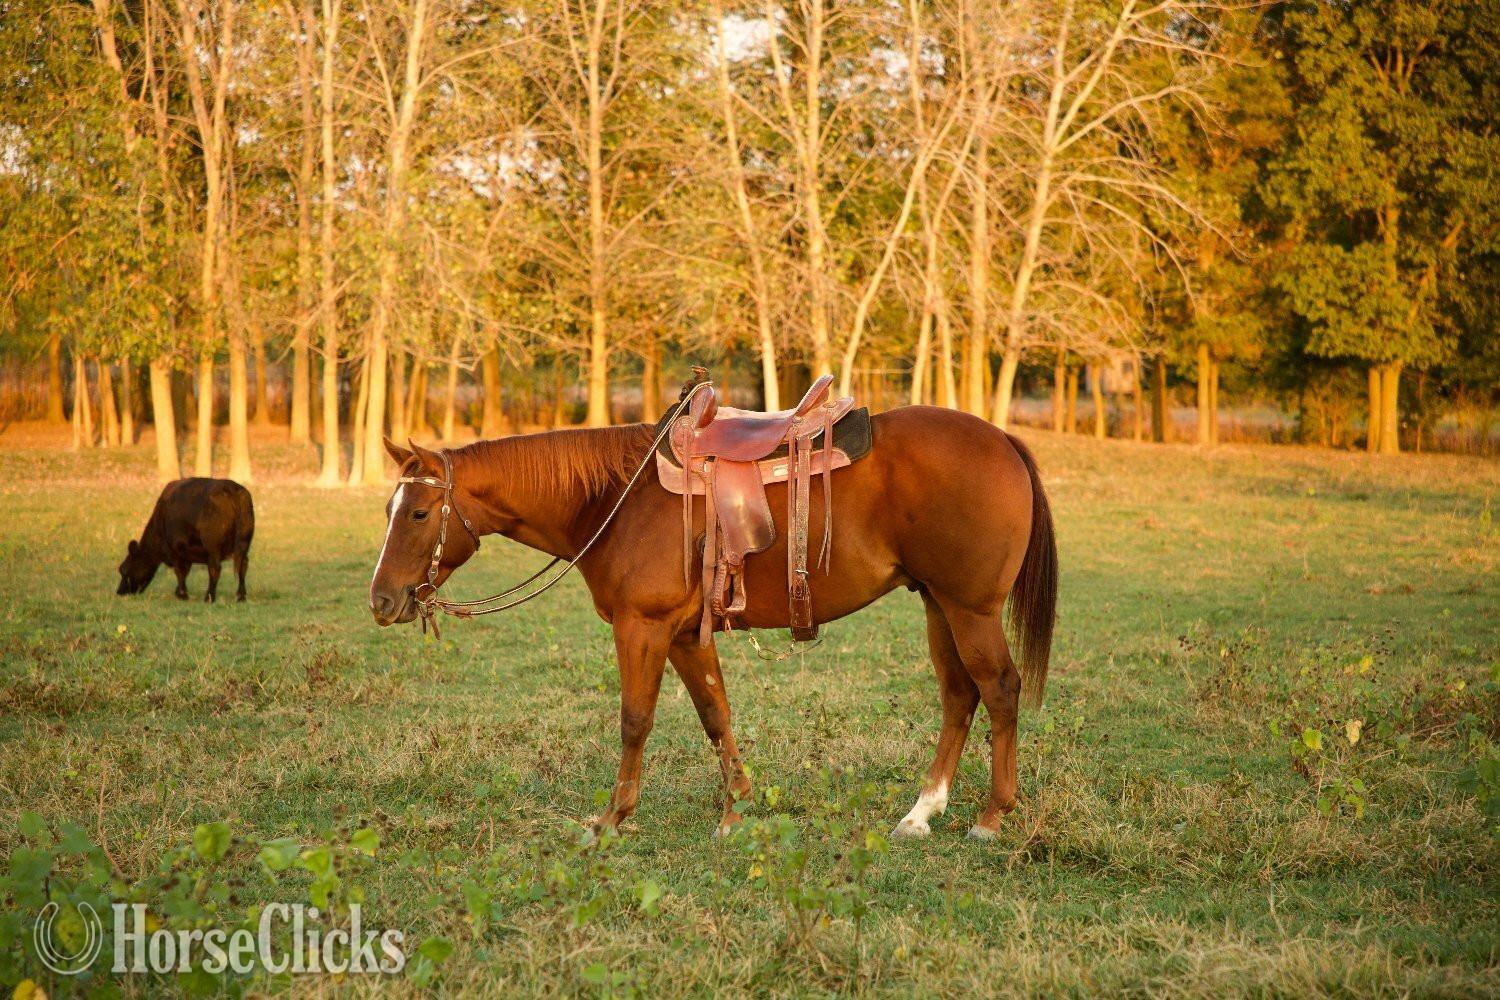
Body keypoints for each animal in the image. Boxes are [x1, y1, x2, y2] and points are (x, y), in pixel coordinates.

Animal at [369, 404, 1057, 840]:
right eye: (390, 507)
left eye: (421, 513)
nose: (381, 601)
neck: (615, 498)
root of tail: (1004, 441)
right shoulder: (680, 635)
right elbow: (715, 715)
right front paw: (735, 812)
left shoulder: (641, 627)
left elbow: (635, 720)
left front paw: (612, 819)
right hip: (937, 603)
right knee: (959, 695)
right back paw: (922, 813)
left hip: (970, 609)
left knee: (999, 690)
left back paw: (991, 818)